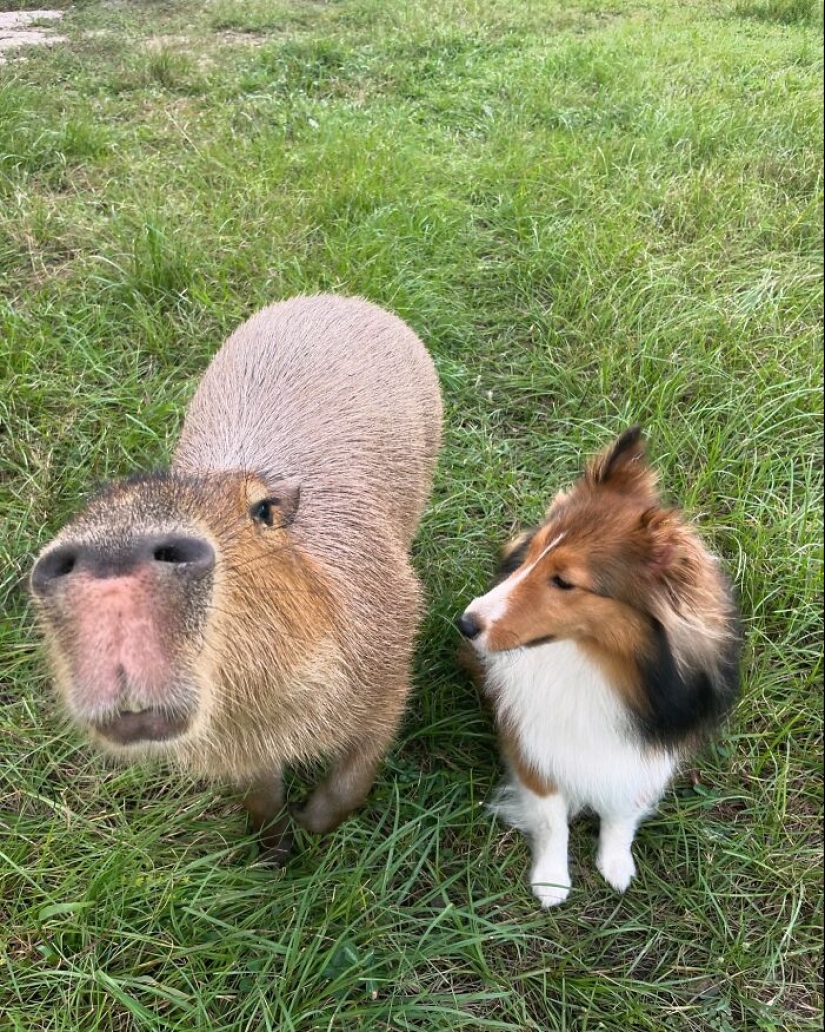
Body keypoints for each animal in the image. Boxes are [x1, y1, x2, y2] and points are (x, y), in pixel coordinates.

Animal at [458, 425, 743, 904]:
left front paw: (615, 863)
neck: (593, 662)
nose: (465, 623)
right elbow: (552, 817)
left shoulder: (646, 753)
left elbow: (622, 811)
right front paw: (552, 880)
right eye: (531, 555)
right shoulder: (533, 745)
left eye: (564, 581)